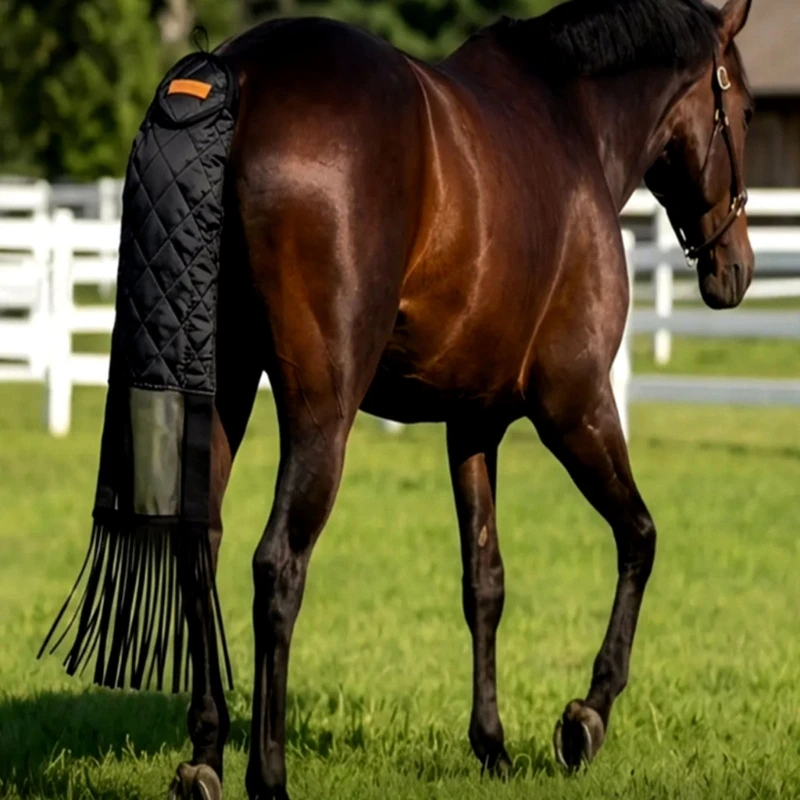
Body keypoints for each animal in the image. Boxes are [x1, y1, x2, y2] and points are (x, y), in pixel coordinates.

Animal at [121, 0, 760, 797]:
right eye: (746, 109)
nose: (735, 268)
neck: (574, 120)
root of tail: (233, 75)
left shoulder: (474, 422)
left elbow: (484, 581)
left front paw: (492, 744)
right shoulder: (575, 405)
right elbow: (640, 536)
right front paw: (586, 716)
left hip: (223, 390)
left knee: (198, 543)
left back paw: (205, 756)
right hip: (320, 413)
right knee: (277, 566)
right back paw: (267, 773)